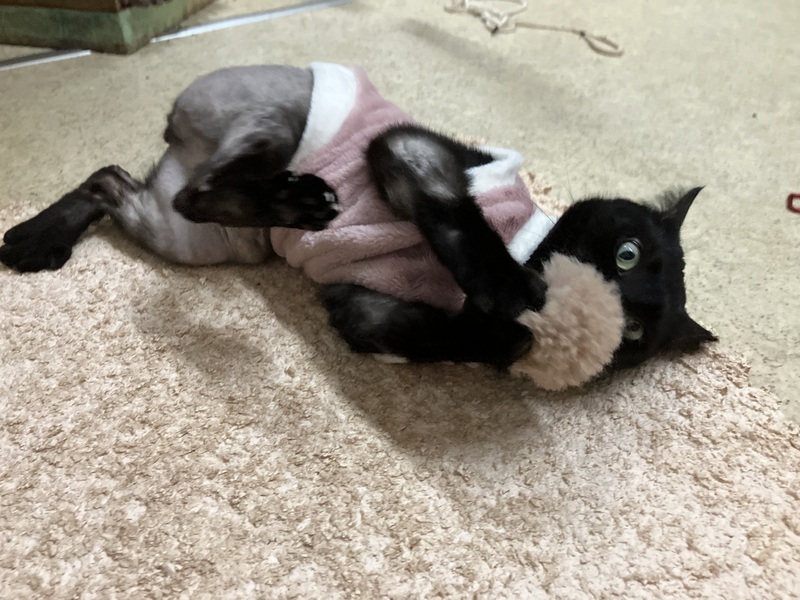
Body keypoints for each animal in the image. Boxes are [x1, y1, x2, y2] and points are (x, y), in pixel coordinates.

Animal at [0, 62, 716, 374]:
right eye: (626, 252)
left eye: (630, 337)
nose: (604, 295)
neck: (527, 239)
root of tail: (175, 131)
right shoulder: (412, 152)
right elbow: (458, 218)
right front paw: (513, 291)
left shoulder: (364, 306)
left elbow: (448, 337)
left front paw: (502, 330)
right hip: (282, 121)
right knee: (192, 190)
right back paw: (298, 199)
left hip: (206, 243)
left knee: (114, 182)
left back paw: (35, 241)